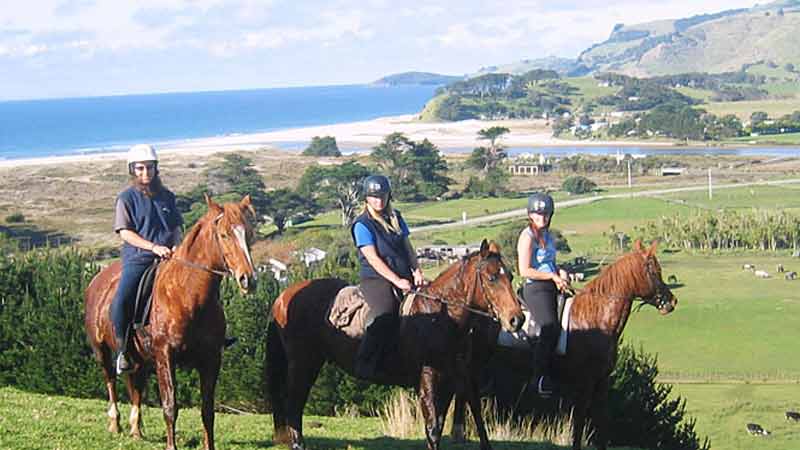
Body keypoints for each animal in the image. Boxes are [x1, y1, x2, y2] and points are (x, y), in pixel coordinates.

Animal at [83, 194, 256, 450]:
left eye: (249, 233)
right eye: (224, 234)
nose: (248, 280)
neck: (189, 296)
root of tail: (97, 281)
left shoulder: (211, 359)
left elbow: (207, 411)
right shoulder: (165, 356)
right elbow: (170, 406)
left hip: (139, 359)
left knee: (136, 387)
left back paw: (136, 429)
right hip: (101, 350)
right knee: (111, 381)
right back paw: (115, 423)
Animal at [268, 241, 528, 450]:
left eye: (510, 276)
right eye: (492, 278)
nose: (517, 319)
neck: (440, 317)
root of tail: (283, 297)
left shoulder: (454, 378)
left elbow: (452, 421)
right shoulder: (428, 379)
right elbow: (433, 428)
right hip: (303, 363)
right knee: (294, 402)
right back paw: (298, 444)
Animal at [450, 241, 676, 450]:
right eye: (655, 272)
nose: (671, 301)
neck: (595, 317)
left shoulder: (602, 382)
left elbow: (602, 420)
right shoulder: (584, 384)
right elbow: (579, 423)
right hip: (476, 363)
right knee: (471, 396)